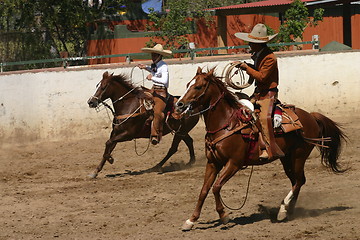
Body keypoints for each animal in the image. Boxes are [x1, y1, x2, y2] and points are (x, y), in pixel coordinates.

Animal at [174, 67, 346, 231]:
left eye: (198, 86)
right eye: (187, 84)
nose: (179, 105)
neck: (226, 124)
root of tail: (311, 116)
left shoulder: (234, 163)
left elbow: (216, 187)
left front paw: (224, 216)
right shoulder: (212, 162)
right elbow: (204, 190)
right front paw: (191, 221)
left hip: (298, 156)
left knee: (299, 181)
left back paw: (282, 211)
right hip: (286, 158)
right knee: (297, 181)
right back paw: (288, 211)